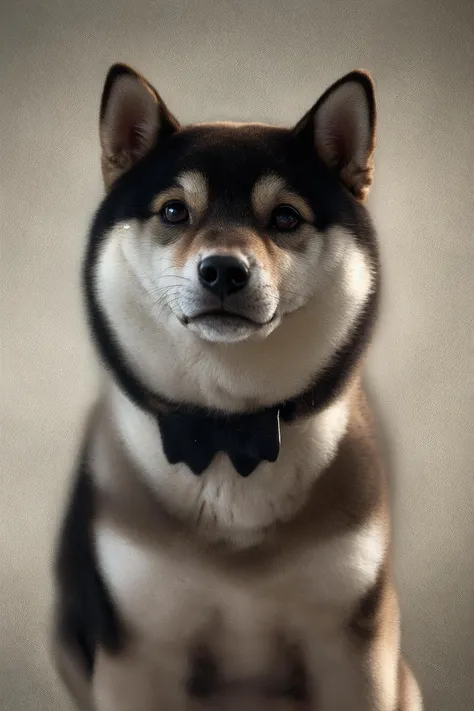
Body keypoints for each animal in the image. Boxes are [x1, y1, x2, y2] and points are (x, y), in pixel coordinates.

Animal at [51, 62, 422, 711]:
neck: (228, 434)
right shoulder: (138, 650)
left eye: (286, 217)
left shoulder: (352, 645)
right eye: (175, 211)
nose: (223, 269)